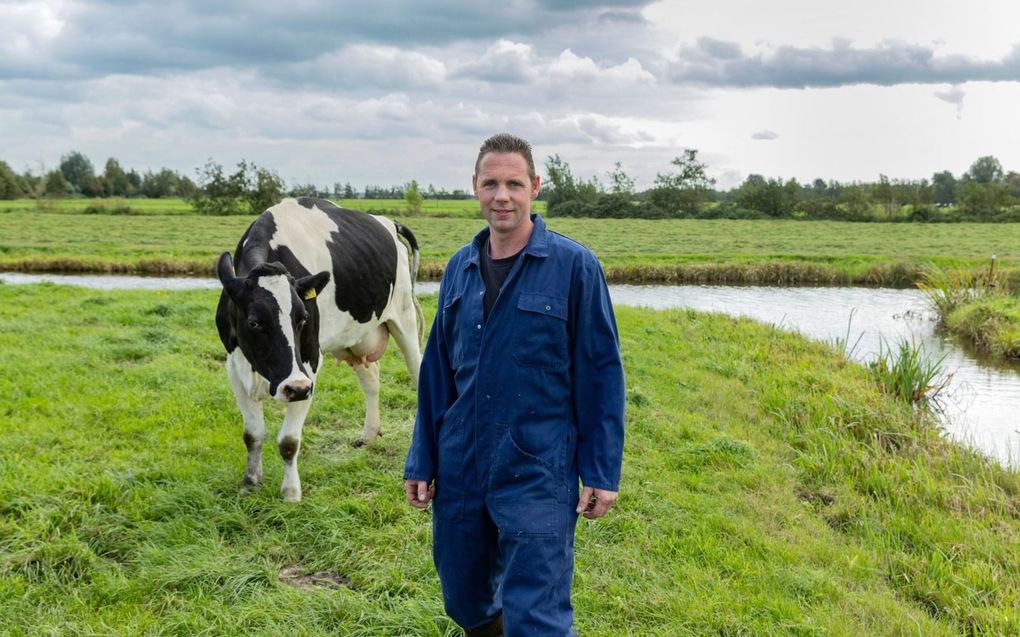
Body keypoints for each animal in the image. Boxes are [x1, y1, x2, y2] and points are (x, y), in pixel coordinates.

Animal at [215, 196, 422, 499]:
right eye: (254, 322)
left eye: (303, 318)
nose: (295, 387)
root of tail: (388, 222)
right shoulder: (234, 362)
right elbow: (252, 434)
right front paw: (250, 483)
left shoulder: (309, 364)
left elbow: (289, 440)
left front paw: (291, 492)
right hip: (357, 335)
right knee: (371, 380)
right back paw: (369, 434)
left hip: (404, 317)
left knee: (418, 374)